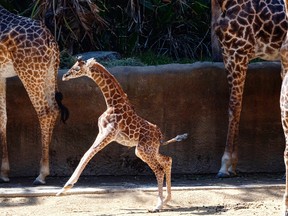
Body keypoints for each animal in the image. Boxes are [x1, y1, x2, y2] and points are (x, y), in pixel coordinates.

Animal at [0, 5, 68, 184]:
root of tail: (51, 41)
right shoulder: (1, 76)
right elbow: (2, 117)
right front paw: (4, 172)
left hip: (30, 73)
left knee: (45, 112)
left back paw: (41, 174)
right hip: (48, 73)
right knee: (54, 110)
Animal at [57, 57, 188, 213]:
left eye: (77, 68)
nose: (65, 76)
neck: (112, 103)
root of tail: (159, 136)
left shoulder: (109, 134)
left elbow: (88, 154)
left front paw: (65, 187)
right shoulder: (102, 132)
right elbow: (86, 153)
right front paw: (63, 188)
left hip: (143, 150)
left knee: (159, 169)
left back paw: (157, 205)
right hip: (148, 150)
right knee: (167, 160)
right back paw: (167, 200)